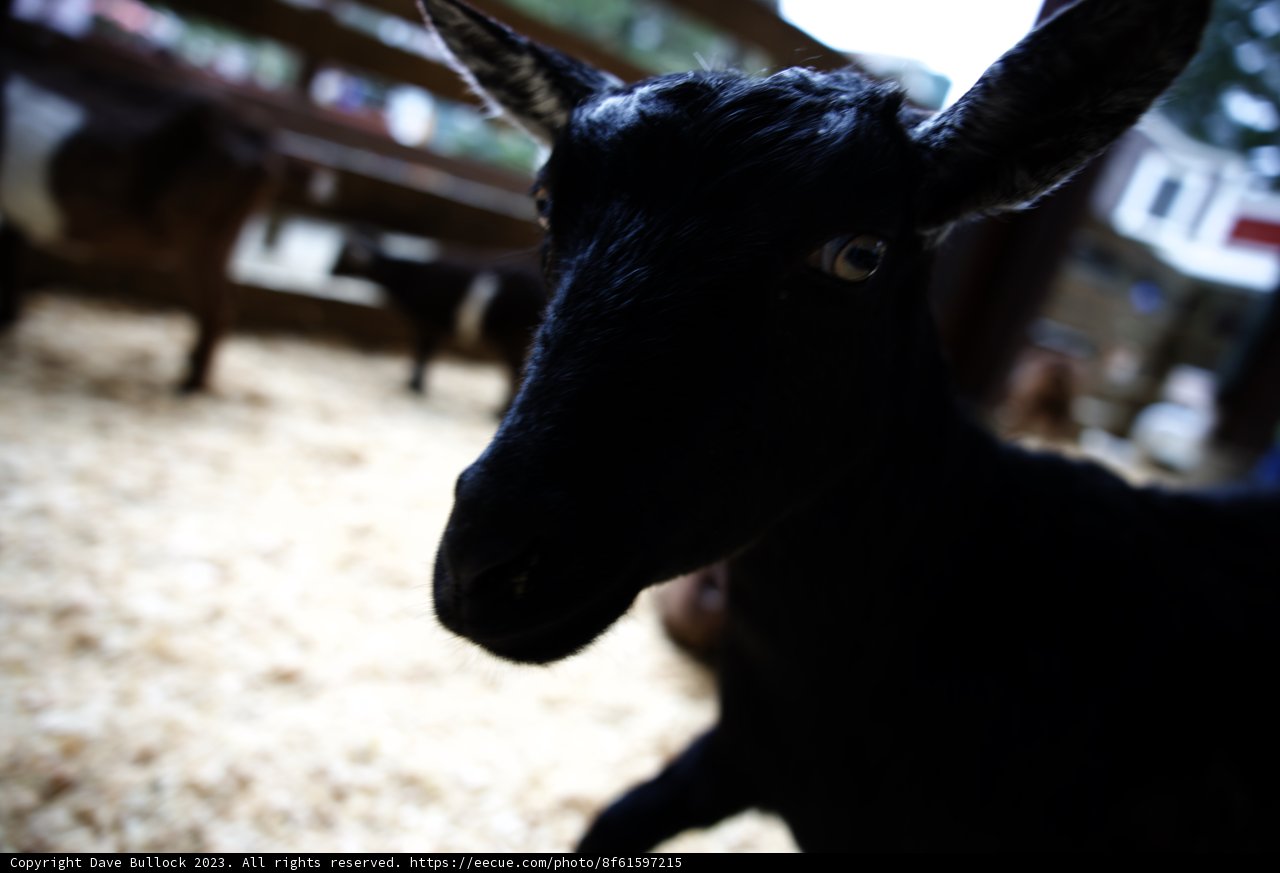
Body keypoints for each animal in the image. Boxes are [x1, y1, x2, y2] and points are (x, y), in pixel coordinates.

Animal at [0, 38, 276, 391]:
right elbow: (14, 253)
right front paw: (10, 318)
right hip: (222, 232)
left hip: (198, 229)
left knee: (218, 304)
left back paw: (188, 385)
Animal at [331, 235, 547, 411]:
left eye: (341, 259)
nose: (329, 271)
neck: (408, 274)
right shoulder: (432, 327)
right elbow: (426, 353)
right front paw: (415, 385)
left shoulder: (427, 323)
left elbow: (423, 354)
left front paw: (414, 386)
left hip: (512, 337)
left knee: (514, 370)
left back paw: (498, 411)